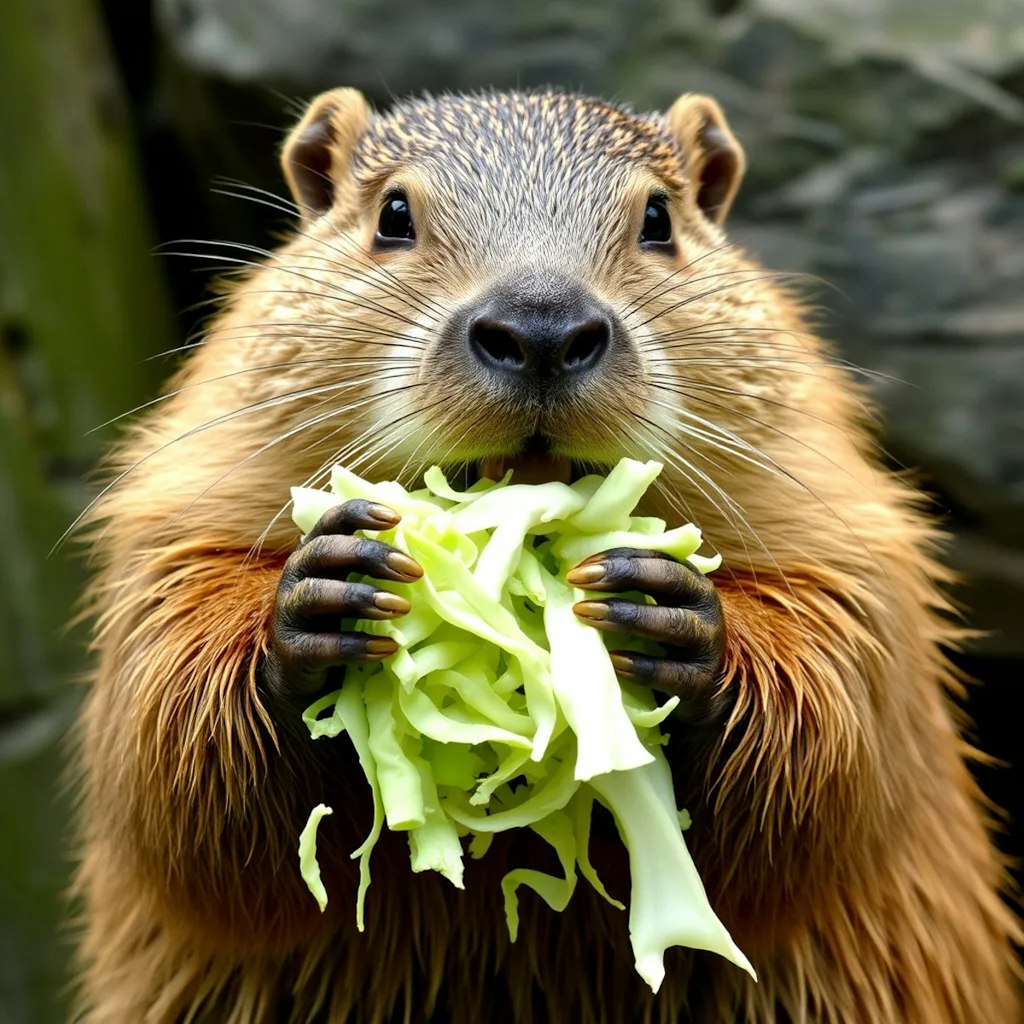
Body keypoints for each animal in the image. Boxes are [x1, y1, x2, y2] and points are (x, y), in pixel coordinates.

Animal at [75, 88, 1019, 1024]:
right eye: (392, 213)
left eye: (657, 217)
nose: (540, 328)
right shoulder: (166, 527)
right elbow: (170, 773)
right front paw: (325, 589)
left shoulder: (859, 550)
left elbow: (836, 757)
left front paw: (667, 611)